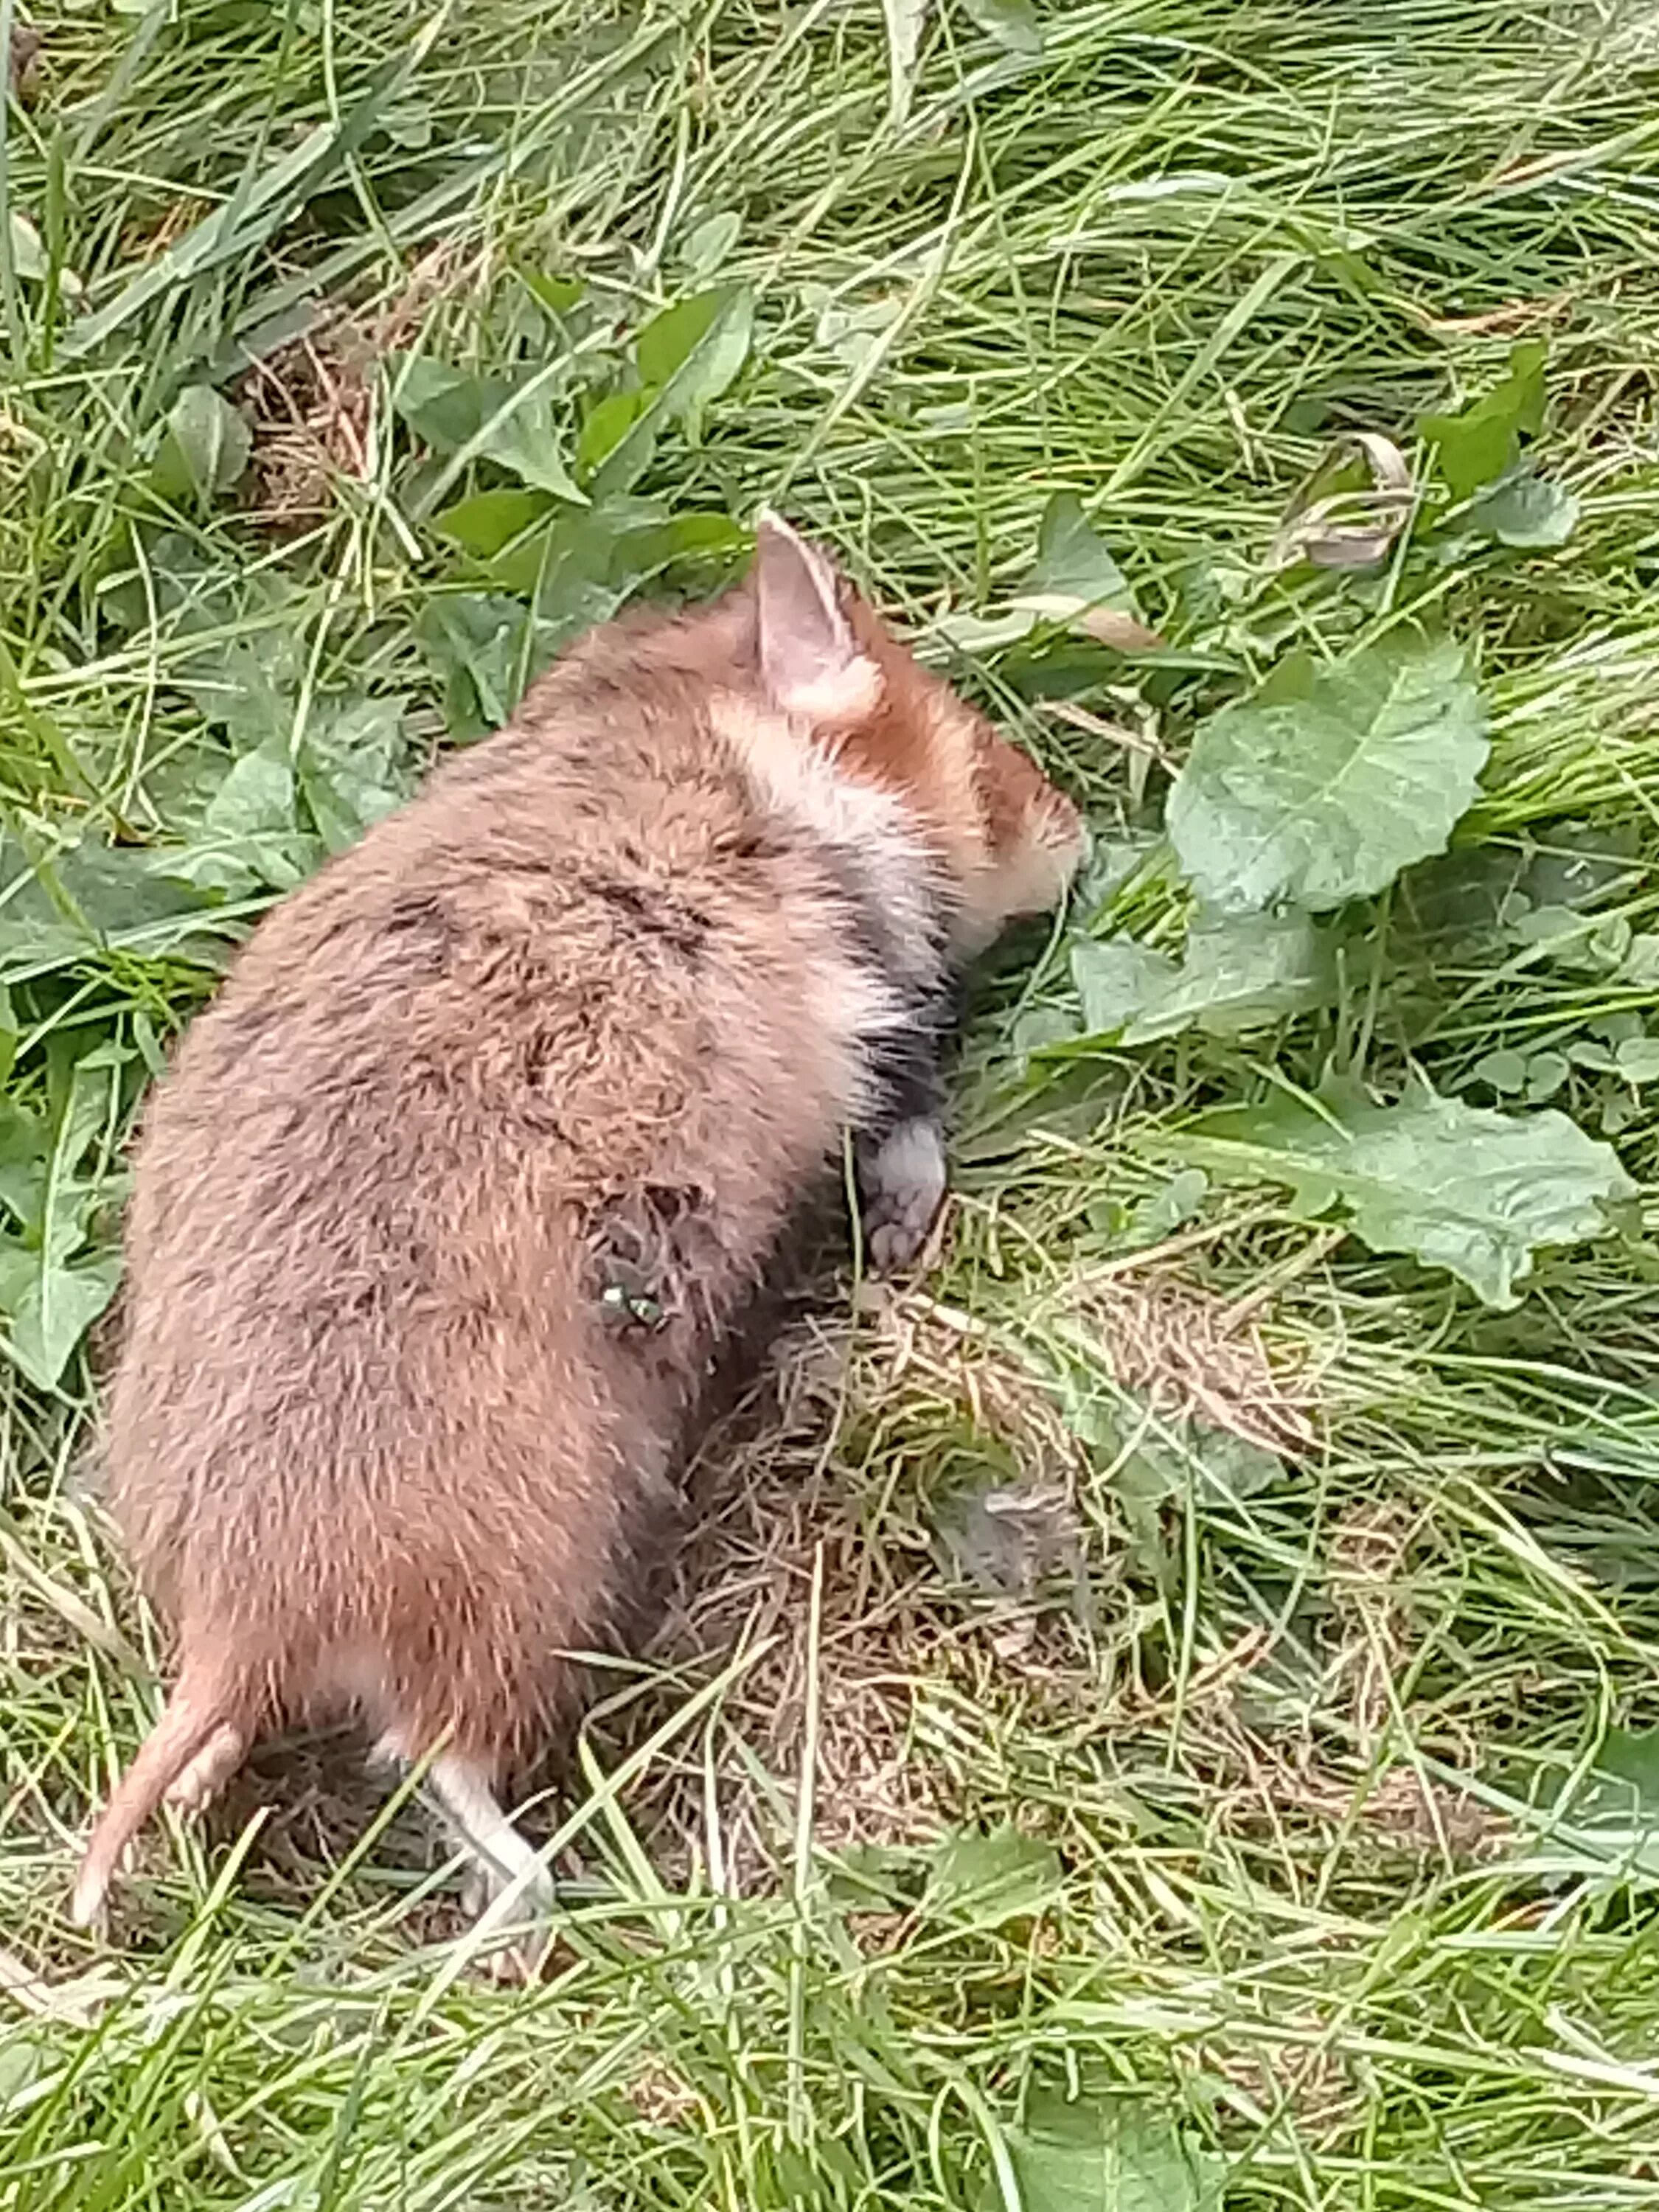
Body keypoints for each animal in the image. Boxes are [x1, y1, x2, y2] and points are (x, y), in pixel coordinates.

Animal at [74, 513, 1093, 1938]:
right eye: (971, 741)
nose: (1080, 831)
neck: (727, 736)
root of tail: (239, 1624)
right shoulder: (870, 1032)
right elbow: (908, 1131)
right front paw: (904, 1230)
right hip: (536, 1580)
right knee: (432, 1760)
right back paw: (545, 1901)